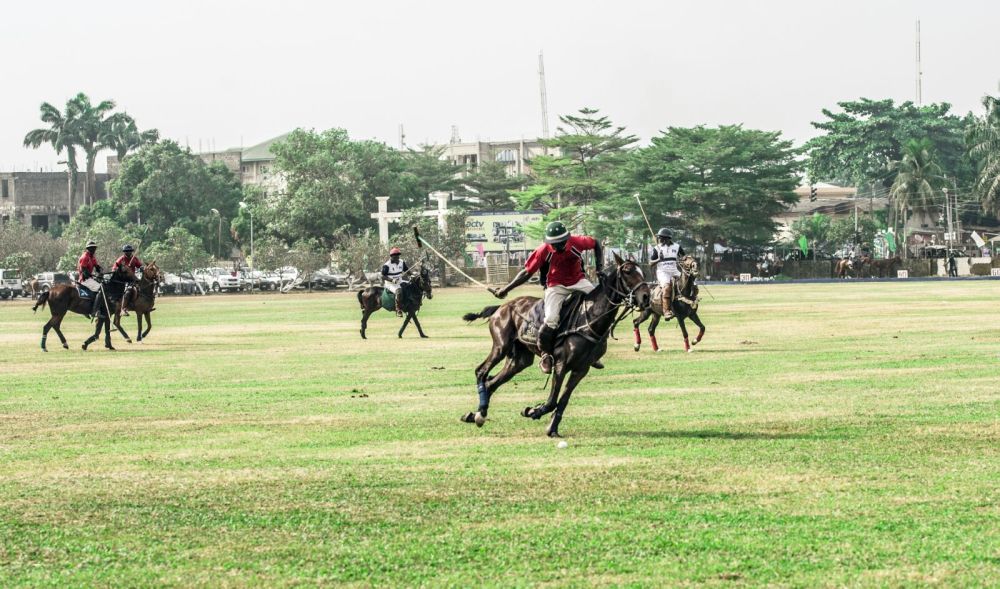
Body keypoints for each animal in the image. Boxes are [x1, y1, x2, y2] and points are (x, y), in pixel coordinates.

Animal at [458, 253, 648, 436]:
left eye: (642, 271)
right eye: (627, 271)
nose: (646, 297)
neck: (590, 319)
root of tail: (502, 306)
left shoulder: (582, 369)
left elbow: (563, 400)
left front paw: (552, 428)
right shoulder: (560, 363)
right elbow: (552, 400)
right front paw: (533, 411)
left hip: (519, 360)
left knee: (492, 382)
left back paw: (476, 414)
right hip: (500, 346)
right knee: (482, 372)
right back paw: (479, 414)